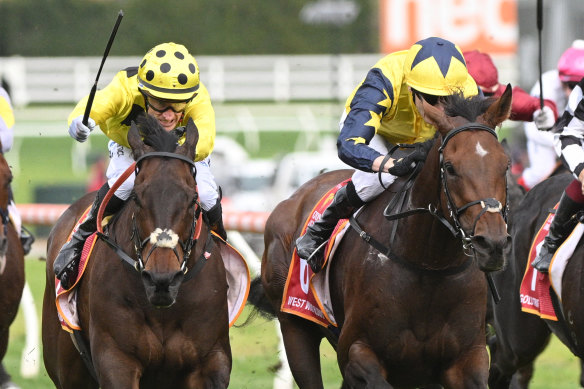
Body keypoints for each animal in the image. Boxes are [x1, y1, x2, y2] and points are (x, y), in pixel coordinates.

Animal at [249, 85, 512, 388]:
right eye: (451, 168)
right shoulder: (357, 352)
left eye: (505, 165)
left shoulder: (467, 359)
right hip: (295, 327)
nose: (492, 243)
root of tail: (292, 199)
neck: (429, 267)